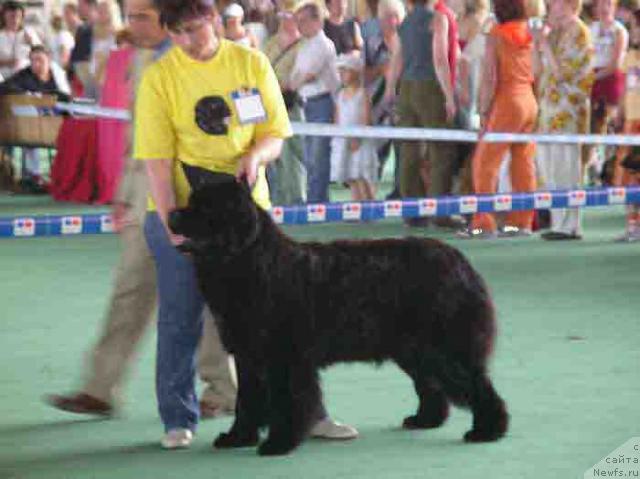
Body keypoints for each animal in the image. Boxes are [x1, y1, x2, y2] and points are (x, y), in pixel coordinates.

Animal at [170, 172, 510, 458]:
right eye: (191, 201)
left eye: (205, 208)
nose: (172, 214)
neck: (250, 262)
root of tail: (459, 261)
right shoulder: (249, 356)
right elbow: (248, 401)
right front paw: (237, 437)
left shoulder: (284, 358)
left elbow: (286, 402)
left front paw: (279, 443)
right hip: (416, 349)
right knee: (433, 385)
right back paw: (425, 420)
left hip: (445, 347)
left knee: (476, 384)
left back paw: (487, 430)